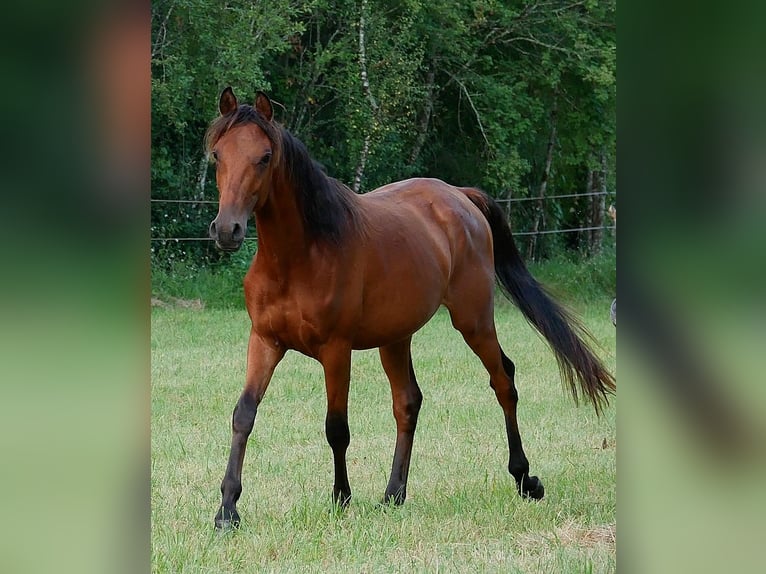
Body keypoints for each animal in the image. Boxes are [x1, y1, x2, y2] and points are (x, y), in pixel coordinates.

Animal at [204, 88, 616, 532]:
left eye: (264, 157)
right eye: (218, 155)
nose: (227, 230)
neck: (300, 256)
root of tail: (460, 197)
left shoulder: (336, 350)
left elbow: (336, 427)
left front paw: (341, 499)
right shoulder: (265, 341)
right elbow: (244, 414)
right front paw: (227, 509)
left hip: (473, 321)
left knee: (503, 380)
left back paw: (525, 479)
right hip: (396, 337)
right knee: (408, 402)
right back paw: (394, 493)